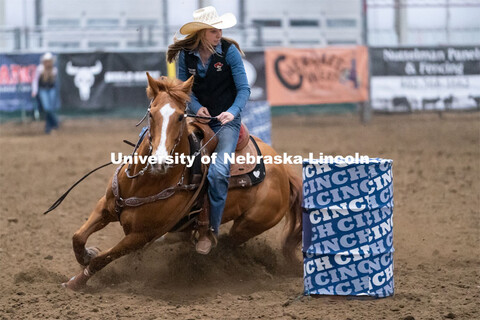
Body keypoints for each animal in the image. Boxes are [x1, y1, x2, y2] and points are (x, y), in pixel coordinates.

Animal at [62, 74, 302, 292]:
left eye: (179, 117)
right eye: (151, 114)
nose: (159, 162)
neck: (144, 183)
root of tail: (285, 172)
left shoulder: (140, 236)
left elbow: (103, 258)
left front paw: (76, 282)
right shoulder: (106, 206)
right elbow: (77, 237)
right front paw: (87, 254)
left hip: (248, 226)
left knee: (224, 243)